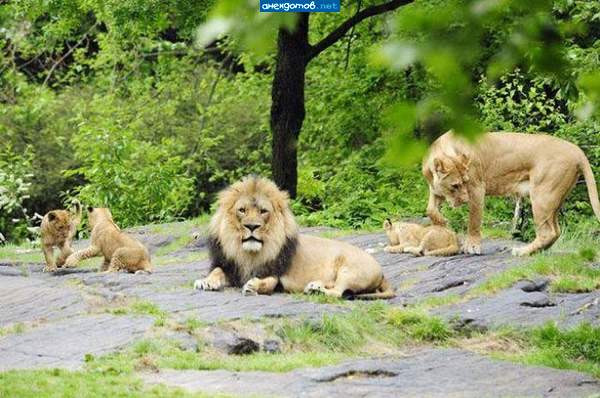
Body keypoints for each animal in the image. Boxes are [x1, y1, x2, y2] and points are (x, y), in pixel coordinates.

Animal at [193, 176, 394, 300]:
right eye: (242, 210)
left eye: (263, 211)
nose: (252, 226)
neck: (248, 254)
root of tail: (382, 271)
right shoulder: (231, 267)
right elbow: (217, 271)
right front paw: (206, 281)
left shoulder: (277, 274)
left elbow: (268, 283)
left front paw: (253, 286)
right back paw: (315, 286)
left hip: (350, 270)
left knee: (338, 292)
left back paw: (317, 291)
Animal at [422, 131, 600, 255]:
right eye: (456, 185)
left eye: (466, 182)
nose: (465, 200)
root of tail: (577, 150)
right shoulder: (436, 190)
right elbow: (430, 209)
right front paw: (442, 223)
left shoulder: (477, 188)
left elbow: (474, 220)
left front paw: (472, 246)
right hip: (554, 199)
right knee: (555, 231)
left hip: (542, 195)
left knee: (547, 232)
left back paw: (521, 252)